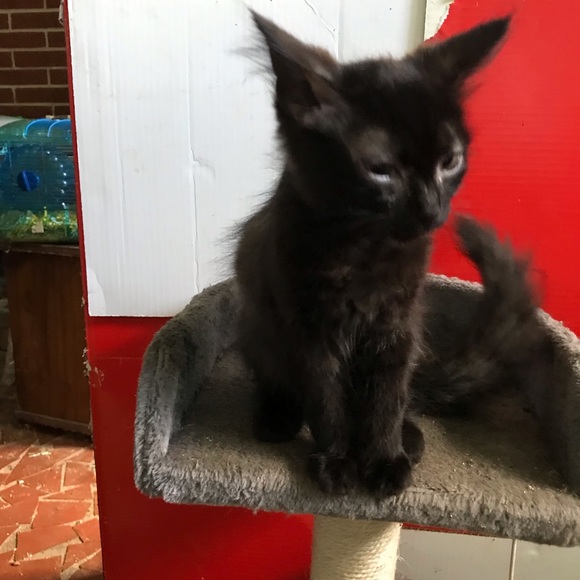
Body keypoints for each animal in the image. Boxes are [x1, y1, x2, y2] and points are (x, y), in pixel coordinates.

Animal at [234, 12, 545, 497]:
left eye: (449, 161)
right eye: (380, 170)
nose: (431, 208)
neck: (364, 248)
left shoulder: (397, 324)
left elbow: (386, 398)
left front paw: (383, 458)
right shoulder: (309, 328)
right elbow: (325, 400)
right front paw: (337, 461)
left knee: (404, 397)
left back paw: (409, 437)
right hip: (255, 326)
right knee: (278, 382)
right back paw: (278, 417)